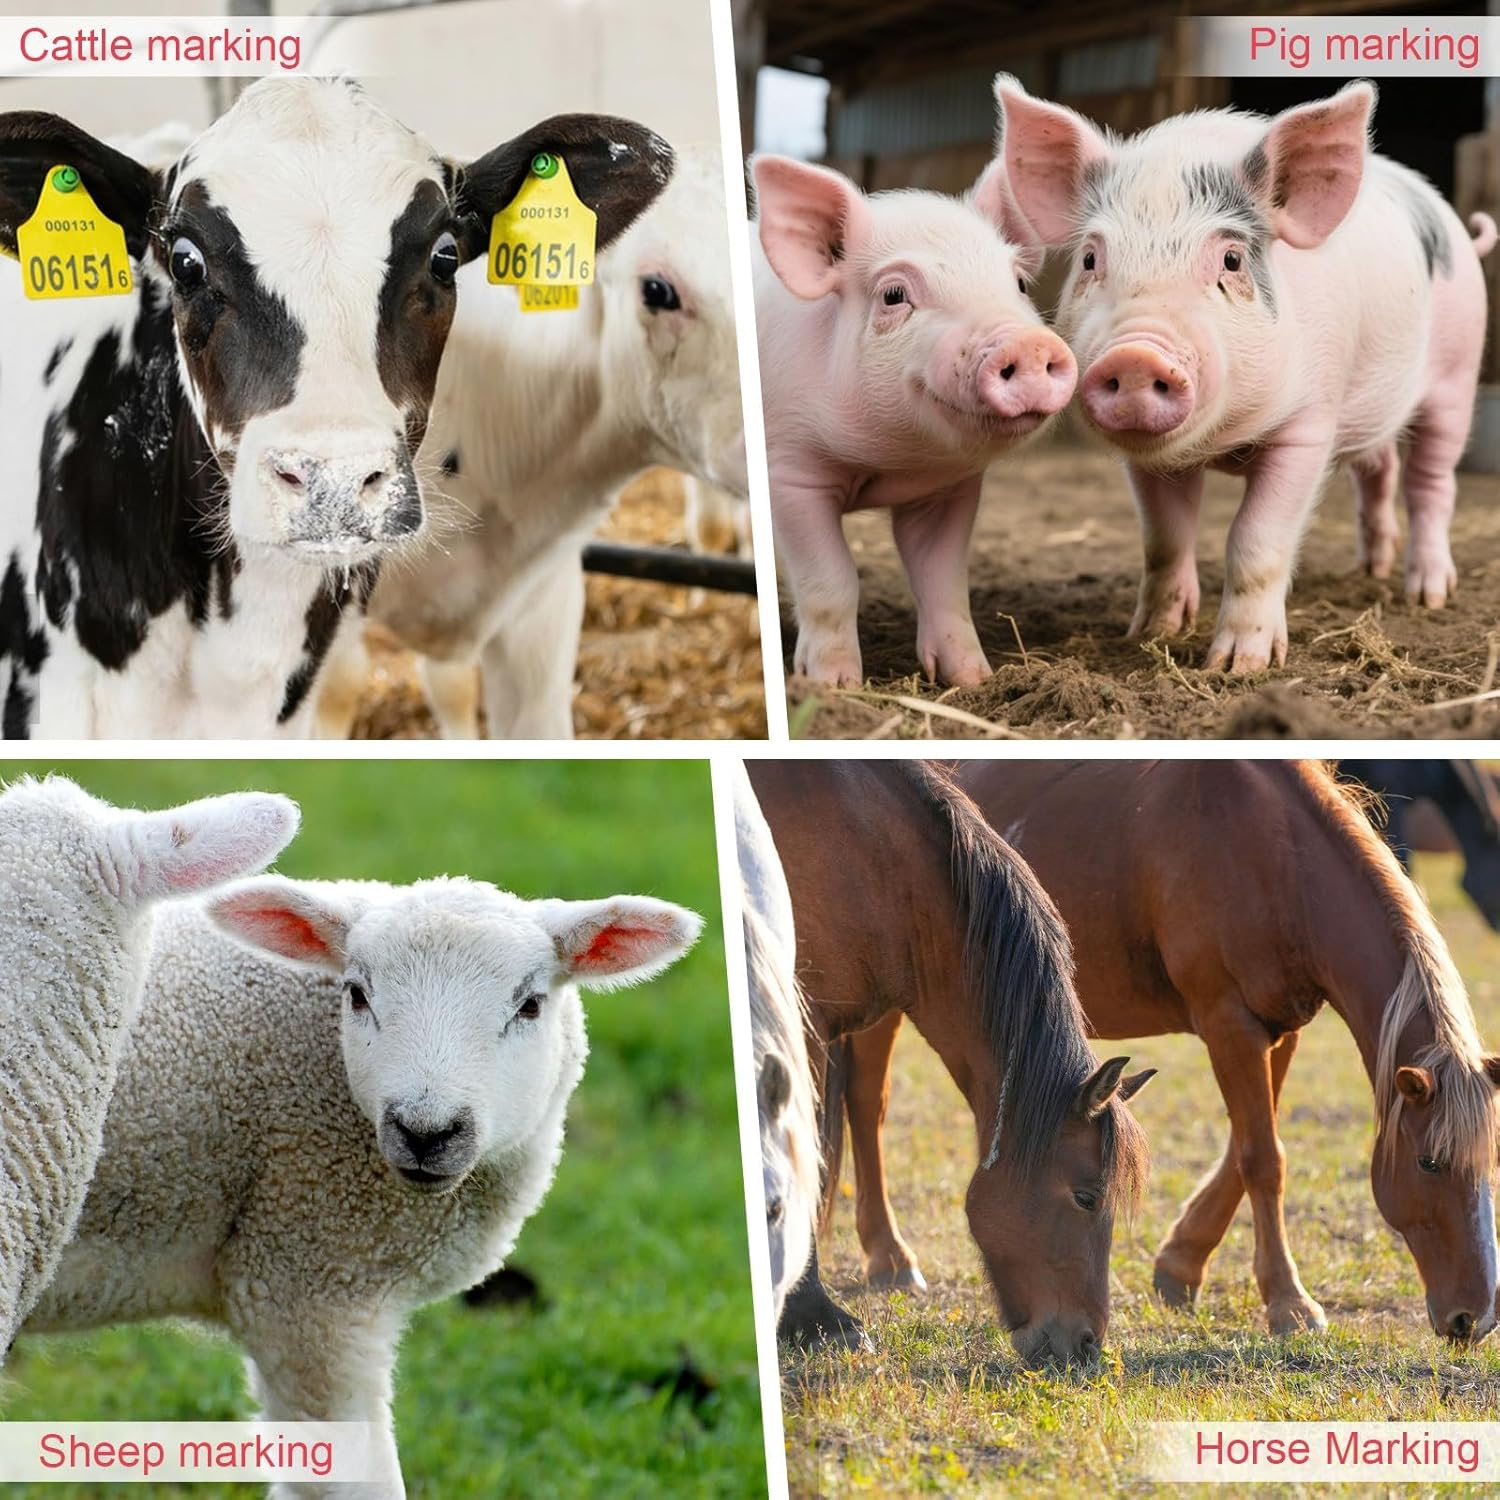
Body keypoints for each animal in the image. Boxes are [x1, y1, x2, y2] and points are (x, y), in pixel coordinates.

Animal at [752, 154, 1077, 687]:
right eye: (894, 294)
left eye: (1020, 284)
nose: (1027, 343)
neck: (890, 464)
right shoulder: (791, 474)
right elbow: (831, 577)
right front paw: (833, 685)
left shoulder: (950, 488)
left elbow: (943, 579)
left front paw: (974, 679)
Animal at [997, 76, 1498, 673]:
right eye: (1092, 259)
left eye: (1232, 261)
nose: (1135, 356)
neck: (1223, 442)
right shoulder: (1146, 460)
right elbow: (1164, 538)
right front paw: (1150, 634)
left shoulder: (1307, 429)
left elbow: (1255, 539)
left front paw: (1238, 666)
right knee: (1379, 470)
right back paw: (1370, 568)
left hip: (1456, 377)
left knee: (1431, 482)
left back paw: (1426, 594)